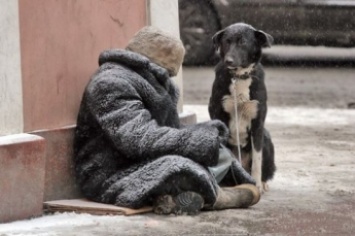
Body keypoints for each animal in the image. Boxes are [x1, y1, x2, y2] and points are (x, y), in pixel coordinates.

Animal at [210, 22, 276, 194]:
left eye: (243, 42)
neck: (239, 77)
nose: (228, 61)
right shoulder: (218, 114)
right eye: (227, 41)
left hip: (266, 137)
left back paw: (262, 182)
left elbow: (257, 159)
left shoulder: (258, 122)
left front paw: (257, 184)